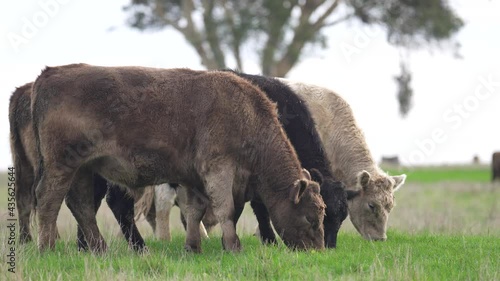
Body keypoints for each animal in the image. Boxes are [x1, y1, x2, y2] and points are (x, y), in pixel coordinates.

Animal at [32, 63, 328, 252]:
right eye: (310, 218)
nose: (318, 250)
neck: (247, 115)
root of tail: (50, 74)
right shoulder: (219, 168)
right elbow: (225, 209)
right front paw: (233, 246)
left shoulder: (192, 177)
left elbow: (194, 211)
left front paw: (192, 246)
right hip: (62, 165)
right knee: (49, 199)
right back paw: (47, 248)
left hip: (84, 168)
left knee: (80, 205)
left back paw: (99, 248)